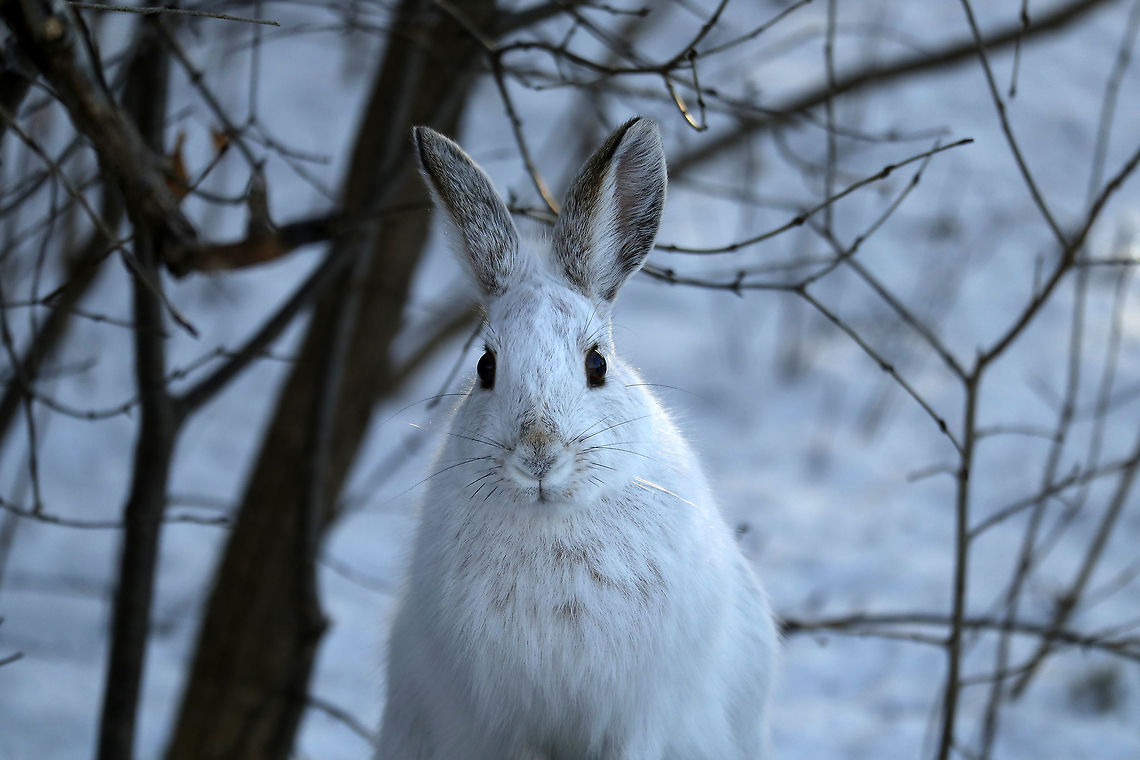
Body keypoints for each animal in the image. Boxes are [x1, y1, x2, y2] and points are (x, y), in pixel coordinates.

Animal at [378, 117, 776, 760]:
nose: (539, 457)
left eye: (597, 365)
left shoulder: (640, 716)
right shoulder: (509, 722)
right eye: (485, 366)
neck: (553, 517)